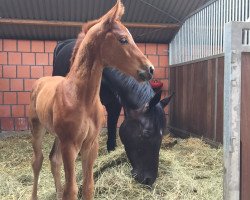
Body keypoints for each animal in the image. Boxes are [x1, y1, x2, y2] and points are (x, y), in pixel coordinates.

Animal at [28, 0, 154, 199]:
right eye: (123, 39)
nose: (149, 69)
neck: (82, 99)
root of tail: (41, 81)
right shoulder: (70, 146)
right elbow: (71, 189)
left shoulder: (90, 145)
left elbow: (88, 186)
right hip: (37, 128)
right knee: (37, 160)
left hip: (58, 135)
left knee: (53, 159)